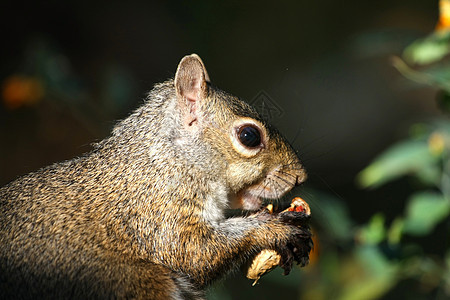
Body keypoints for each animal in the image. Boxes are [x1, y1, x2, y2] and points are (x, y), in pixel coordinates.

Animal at [0, 54, 312, 300]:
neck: (164, 161)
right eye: (249, 136)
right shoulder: (156, 211)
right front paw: (273, 227)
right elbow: (191, 251)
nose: (300, 177)